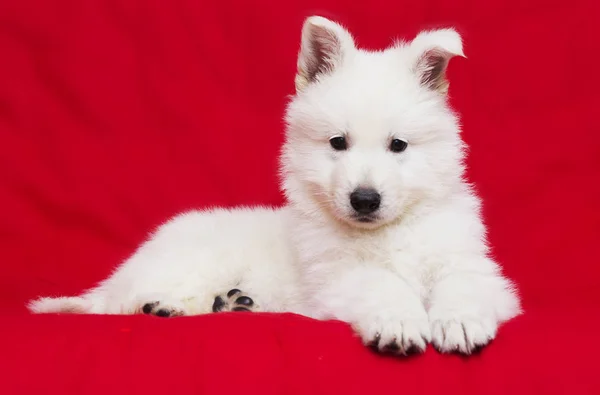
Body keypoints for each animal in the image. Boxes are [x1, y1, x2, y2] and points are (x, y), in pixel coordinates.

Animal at [28, 15, 520, 358]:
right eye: (337, 143)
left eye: (398, 145)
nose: (364, 199)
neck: (385, 232)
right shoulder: (337, 277)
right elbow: (380, 284)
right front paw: (400, 320)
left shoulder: (473, 266)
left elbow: (464, 283)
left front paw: (458, 321)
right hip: (187, 262)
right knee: (121, 303)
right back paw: (166, 306)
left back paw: (234, 304)